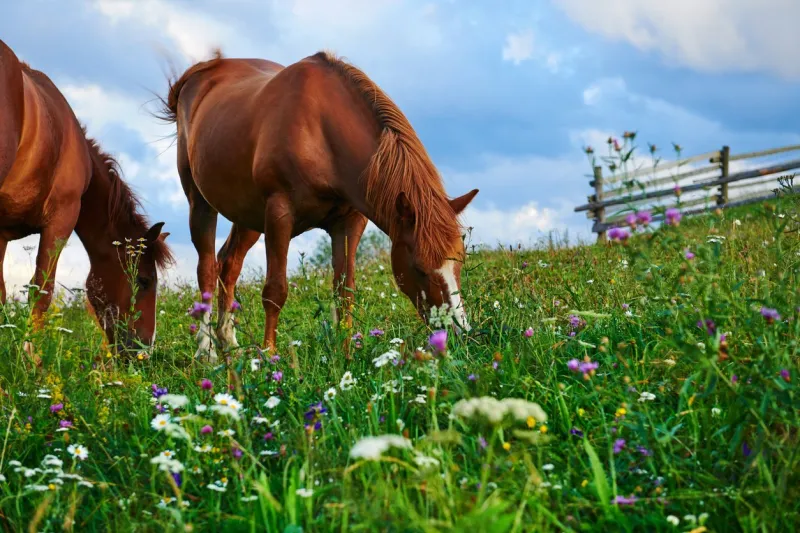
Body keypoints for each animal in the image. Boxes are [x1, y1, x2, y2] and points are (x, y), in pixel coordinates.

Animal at [0, 39, 173, 362]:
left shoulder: (1, 231)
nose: (144, 351)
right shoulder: (60, 222)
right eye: (143, 281)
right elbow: (41, 291)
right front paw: (30, 358)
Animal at [157, 49, 478, 361]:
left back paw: (229, 342)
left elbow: (344, 291)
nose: (458, 333)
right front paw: (269, 357)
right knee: (207, 270)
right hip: (201, 204)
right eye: (419, 268)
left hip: (248, 216)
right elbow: (275, 290)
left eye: (459, 261)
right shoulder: (279, 214)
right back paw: (206, 350)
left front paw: (345, 355)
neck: (321, 132)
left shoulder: (349, 223)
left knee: (229, 264)